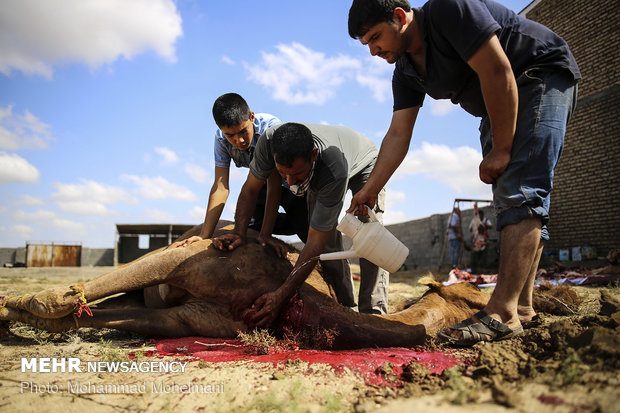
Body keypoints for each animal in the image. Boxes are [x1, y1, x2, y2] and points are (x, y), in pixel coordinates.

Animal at [2, 222, 492, 348]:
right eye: (475, 295)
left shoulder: (187, 320)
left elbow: (94, 314)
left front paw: (24, 313)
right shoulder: (183, 260)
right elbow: (63, 298)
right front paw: (19, 301)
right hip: (184, 248)